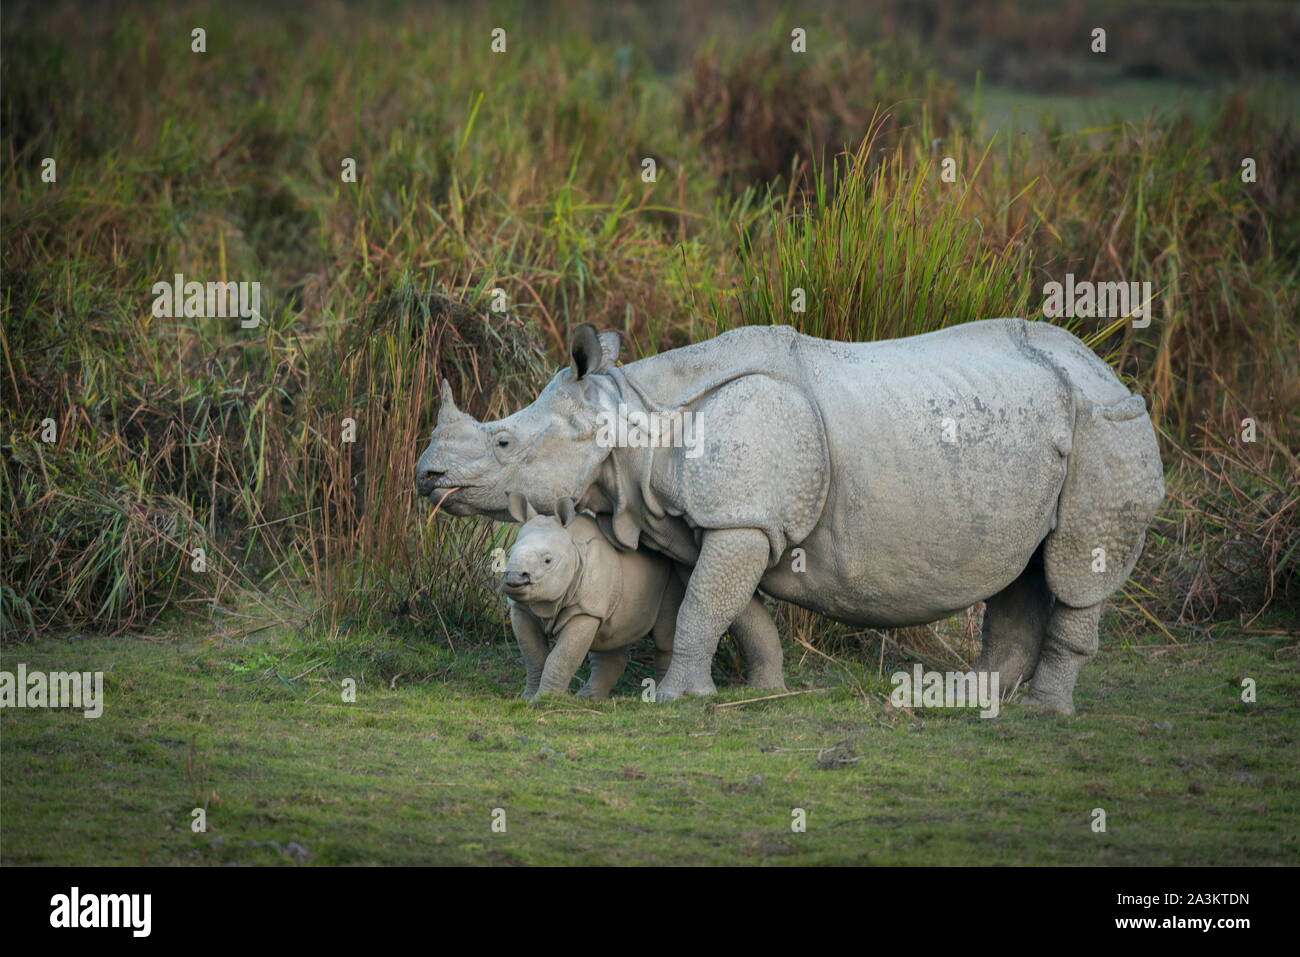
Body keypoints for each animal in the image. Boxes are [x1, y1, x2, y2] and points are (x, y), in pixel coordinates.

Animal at [499, 494, 681, 702]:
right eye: (510, 553)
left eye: (548, 560)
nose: (514, 578)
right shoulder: (521, 608)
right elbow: (533, 655)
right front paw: (527, 698)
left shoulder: (584, 610)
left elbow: (561, 657)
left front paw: (543, 700)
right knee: (609, 638)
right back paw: (588, 698)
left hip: (672, 574)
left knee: (664, 636)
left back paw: (658, 697)